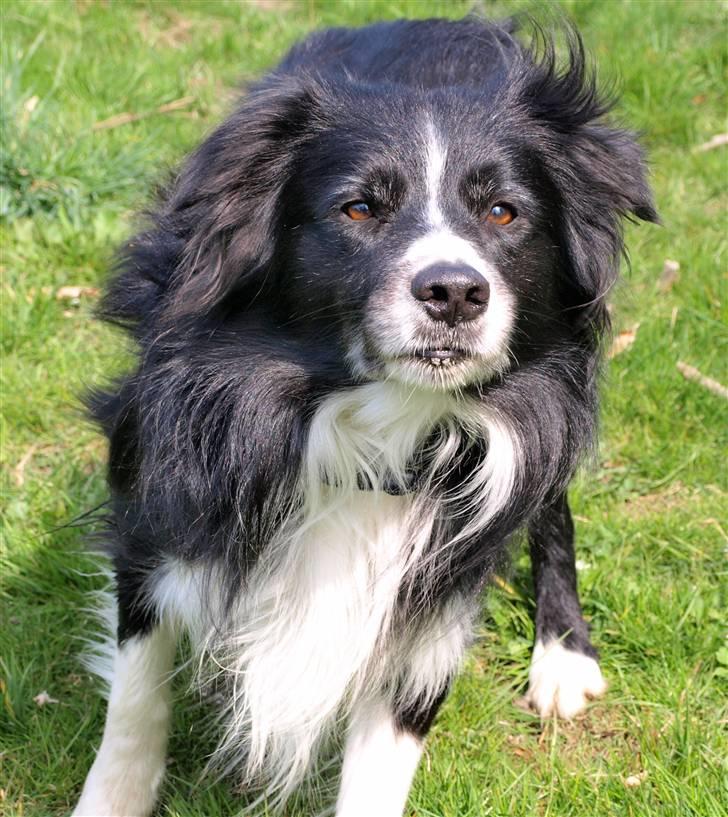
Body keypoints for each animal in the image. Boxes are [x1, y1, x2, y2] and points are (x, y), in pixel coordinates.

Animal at [75, 14, 660, 816]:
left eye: (503, 212)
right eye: (359, 208)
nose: (455, 292)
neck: (373, 423)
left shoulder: (428, 602)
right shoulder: (158, 500)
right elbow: (136, 698)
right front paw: (112, 797)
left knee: (554, 508)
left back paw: (564, 655)